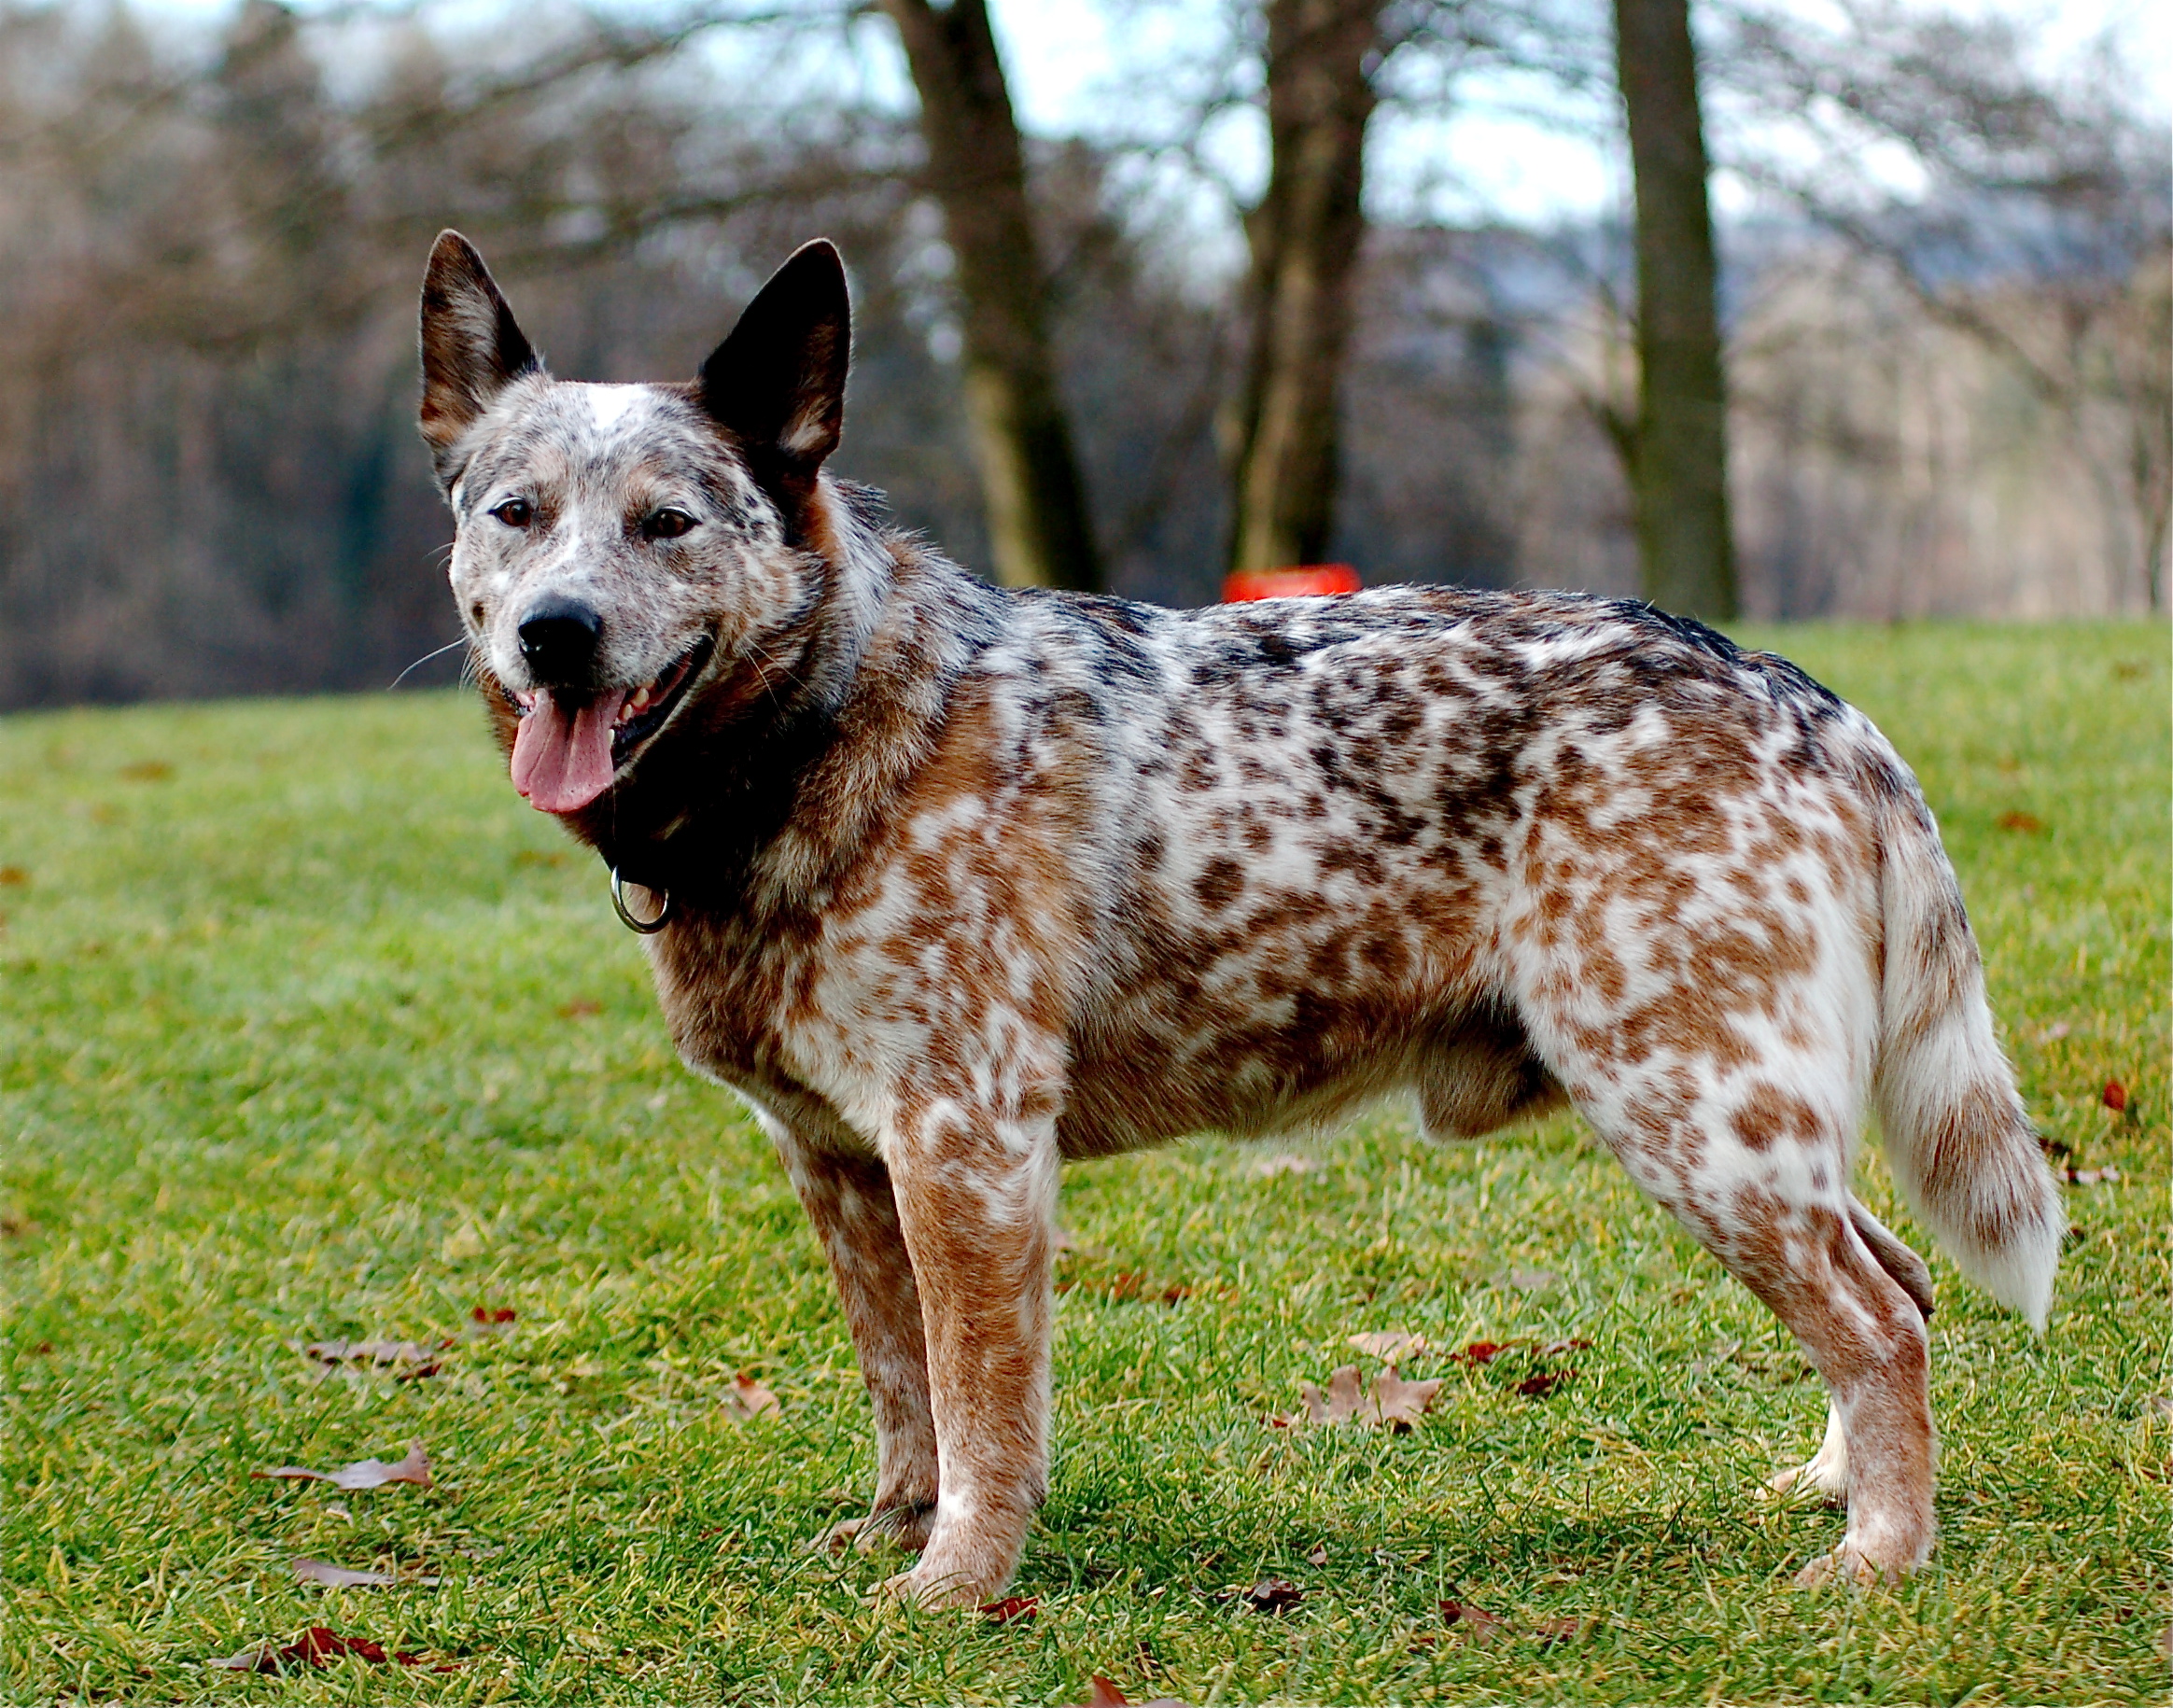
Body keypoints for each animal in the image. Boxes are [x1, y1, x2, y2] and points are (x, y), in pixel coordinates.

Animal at [414, 232, 2059, 1607]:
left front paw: (958, 1582)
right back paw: (1841, 1489)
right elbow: (903, 1396)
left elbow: (978, 1404)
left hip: (1693, 1105)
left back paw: (1883, 1555)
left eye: (668, 521)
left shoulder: (967, 1144)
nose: (556, 633)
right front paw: (895, 1530)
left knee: (1882, 1317)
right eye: (517, 514)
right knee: (1898, 1285)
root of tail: (1811, 697)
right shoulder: (839, 1159)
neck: (838, 723)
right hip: (1745, 1112)